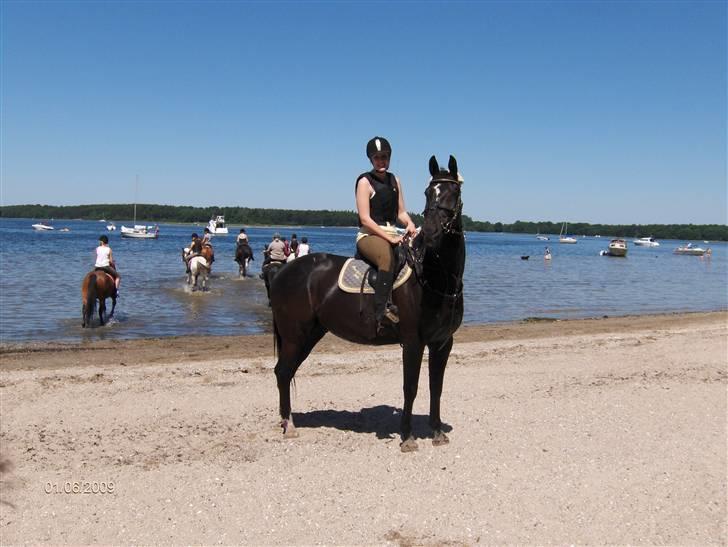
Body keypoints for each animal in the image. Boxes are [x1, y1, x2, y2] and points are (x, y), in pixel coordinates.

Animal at [268, 155, 466, 454]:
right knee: (282, 372)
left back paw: (287, 421)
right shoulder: (413, 341)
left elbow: (436, 386)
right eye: (428, 192)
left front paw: (436, 431)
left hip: (310, 334)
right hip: (294, 335)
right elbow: (411, 387)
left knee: (287, 370)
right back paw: (288, 426)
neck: (435, 278)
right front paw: (407, 437)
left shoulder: (442, 342)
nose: (430, 233)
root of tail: (282, 271)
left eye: (454, 192)